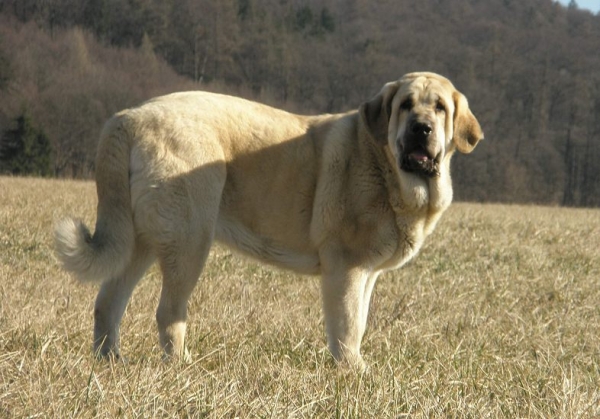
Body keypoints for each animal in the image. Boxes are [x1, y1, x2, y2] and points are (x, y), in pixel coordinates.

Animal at [55, 73, 482, 370]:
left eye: (439, 107)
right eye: (406, 105)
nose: (421, 128)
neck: (385, 165)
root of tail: (126, 120)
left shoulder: (366, 274)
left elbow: (357, 320)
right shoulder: (347, 268)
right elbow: (348, 325)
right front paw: (352, 371)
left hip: (138, 241)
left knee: (108, 303)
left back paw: (111, 361)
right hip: (190, 240)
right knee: (168, 311)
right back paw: (180, 365)